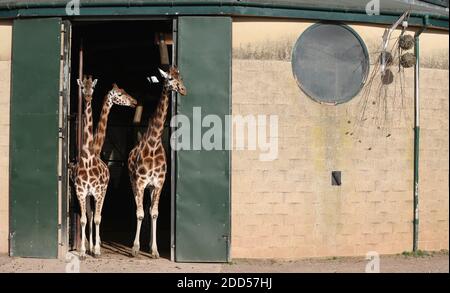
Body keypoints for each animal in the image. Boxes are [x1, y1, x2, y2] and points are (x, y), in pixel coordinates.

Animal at [73, 77, 136, 258]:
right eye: (82, 87)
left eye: (123, 92)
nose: (134, 102)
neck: (89, 157)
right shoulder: (81, 192)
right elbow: (84, 219)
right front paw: (83, 251)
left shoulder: (99, 192)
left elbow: (97, 218)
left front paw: (96, 249)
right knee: (90, 215)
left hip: (101, 192)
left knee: (96, 215)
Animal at [128, 65, 186, 256]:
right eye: (169, 79)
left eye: (180, 77)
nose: (183, 90)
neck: (153, 144)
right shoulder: (140, 183)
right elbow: (139, 213)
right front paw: (135, 248)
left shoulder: (159, 183)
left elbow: (154, 213)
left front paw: (154, 250)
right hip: (134, 183)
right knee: (139, 208)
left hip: (151, 188)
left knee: (149, 209)